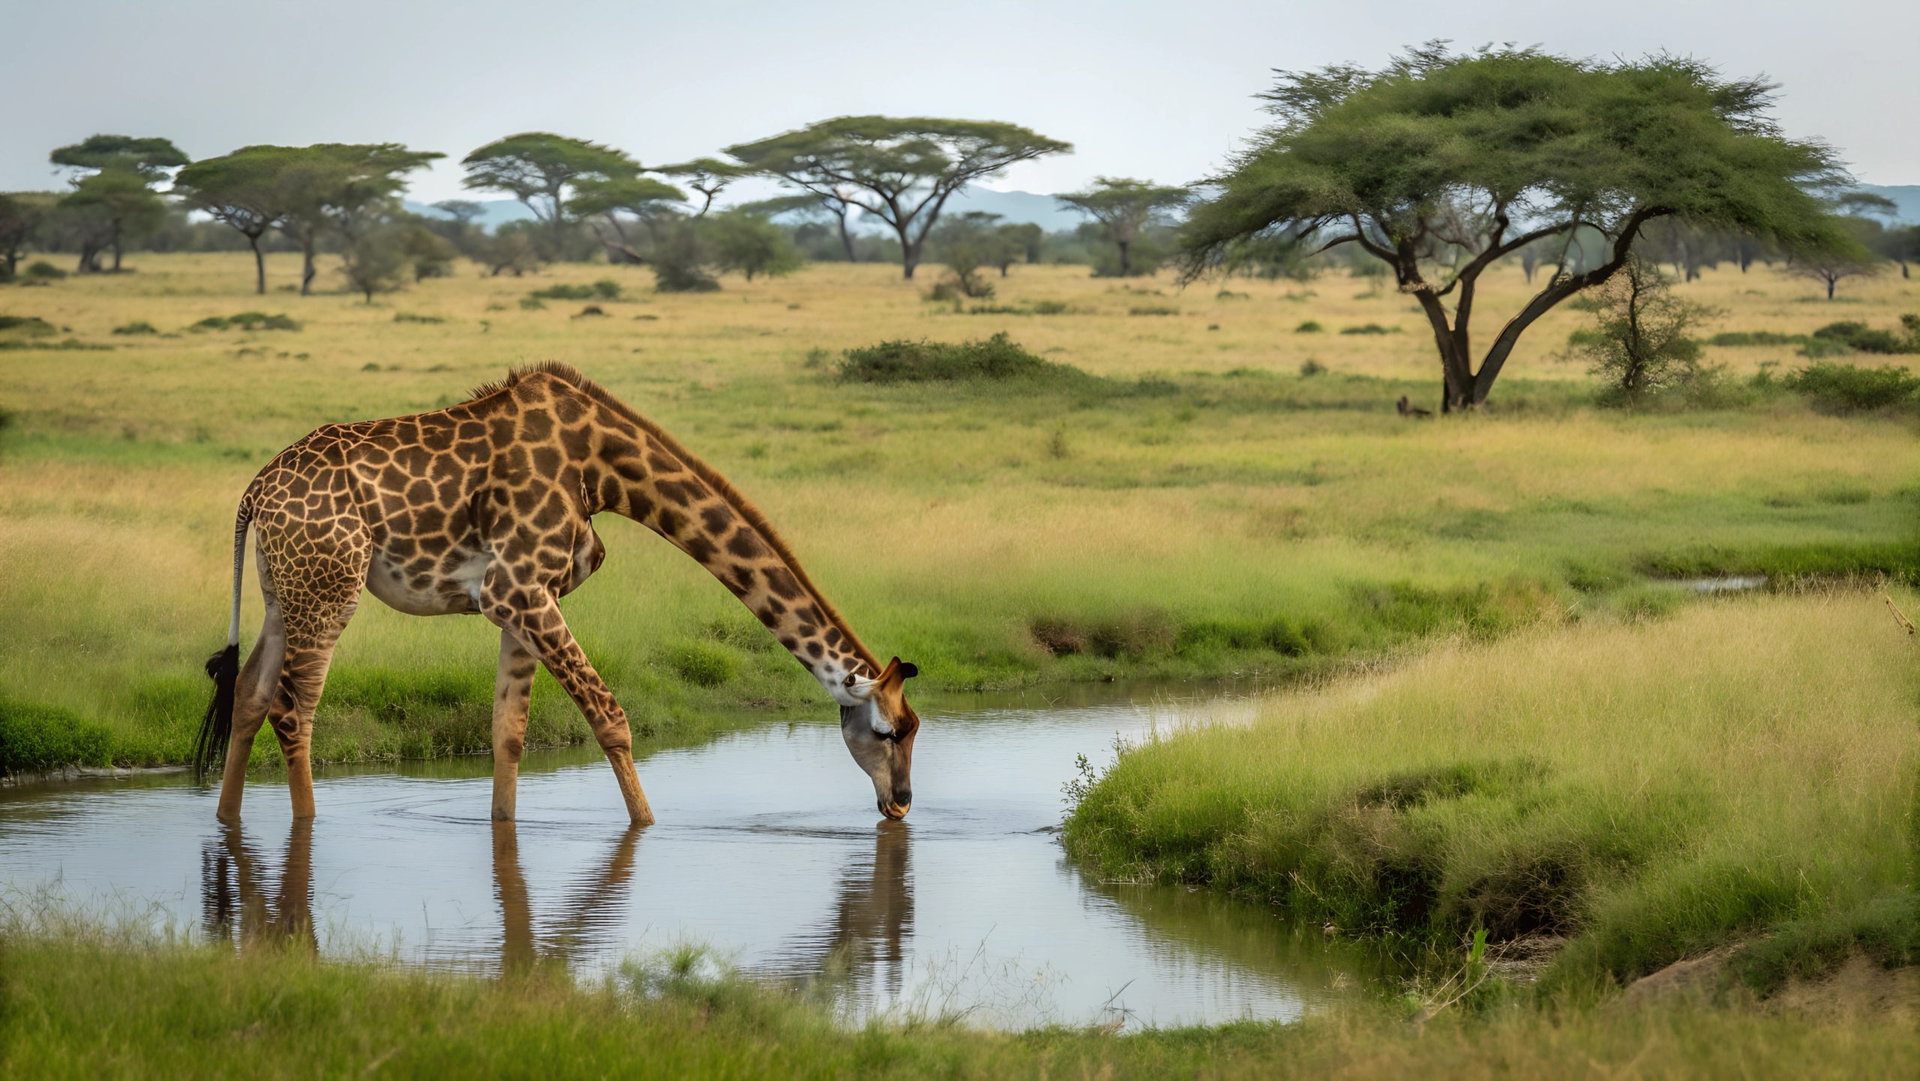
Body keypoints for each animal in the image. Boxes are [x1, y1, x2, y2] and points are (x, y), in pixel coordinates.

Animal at [196, 362, 920, 827]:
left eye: (912, 729)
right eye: (887, 731)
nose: (902, 803)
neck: (601, 469)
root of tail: (253, 492)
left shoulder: (522, 598)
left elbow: (508, 732)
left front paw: (504, 828)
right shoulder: (518, 586)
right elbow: (610, 716)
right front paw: (647, 826)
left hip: (283, 588)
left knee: (251, 694)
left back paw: (226, 821)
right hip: (330, 588)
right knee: (294, 709)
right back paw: (307, 828)